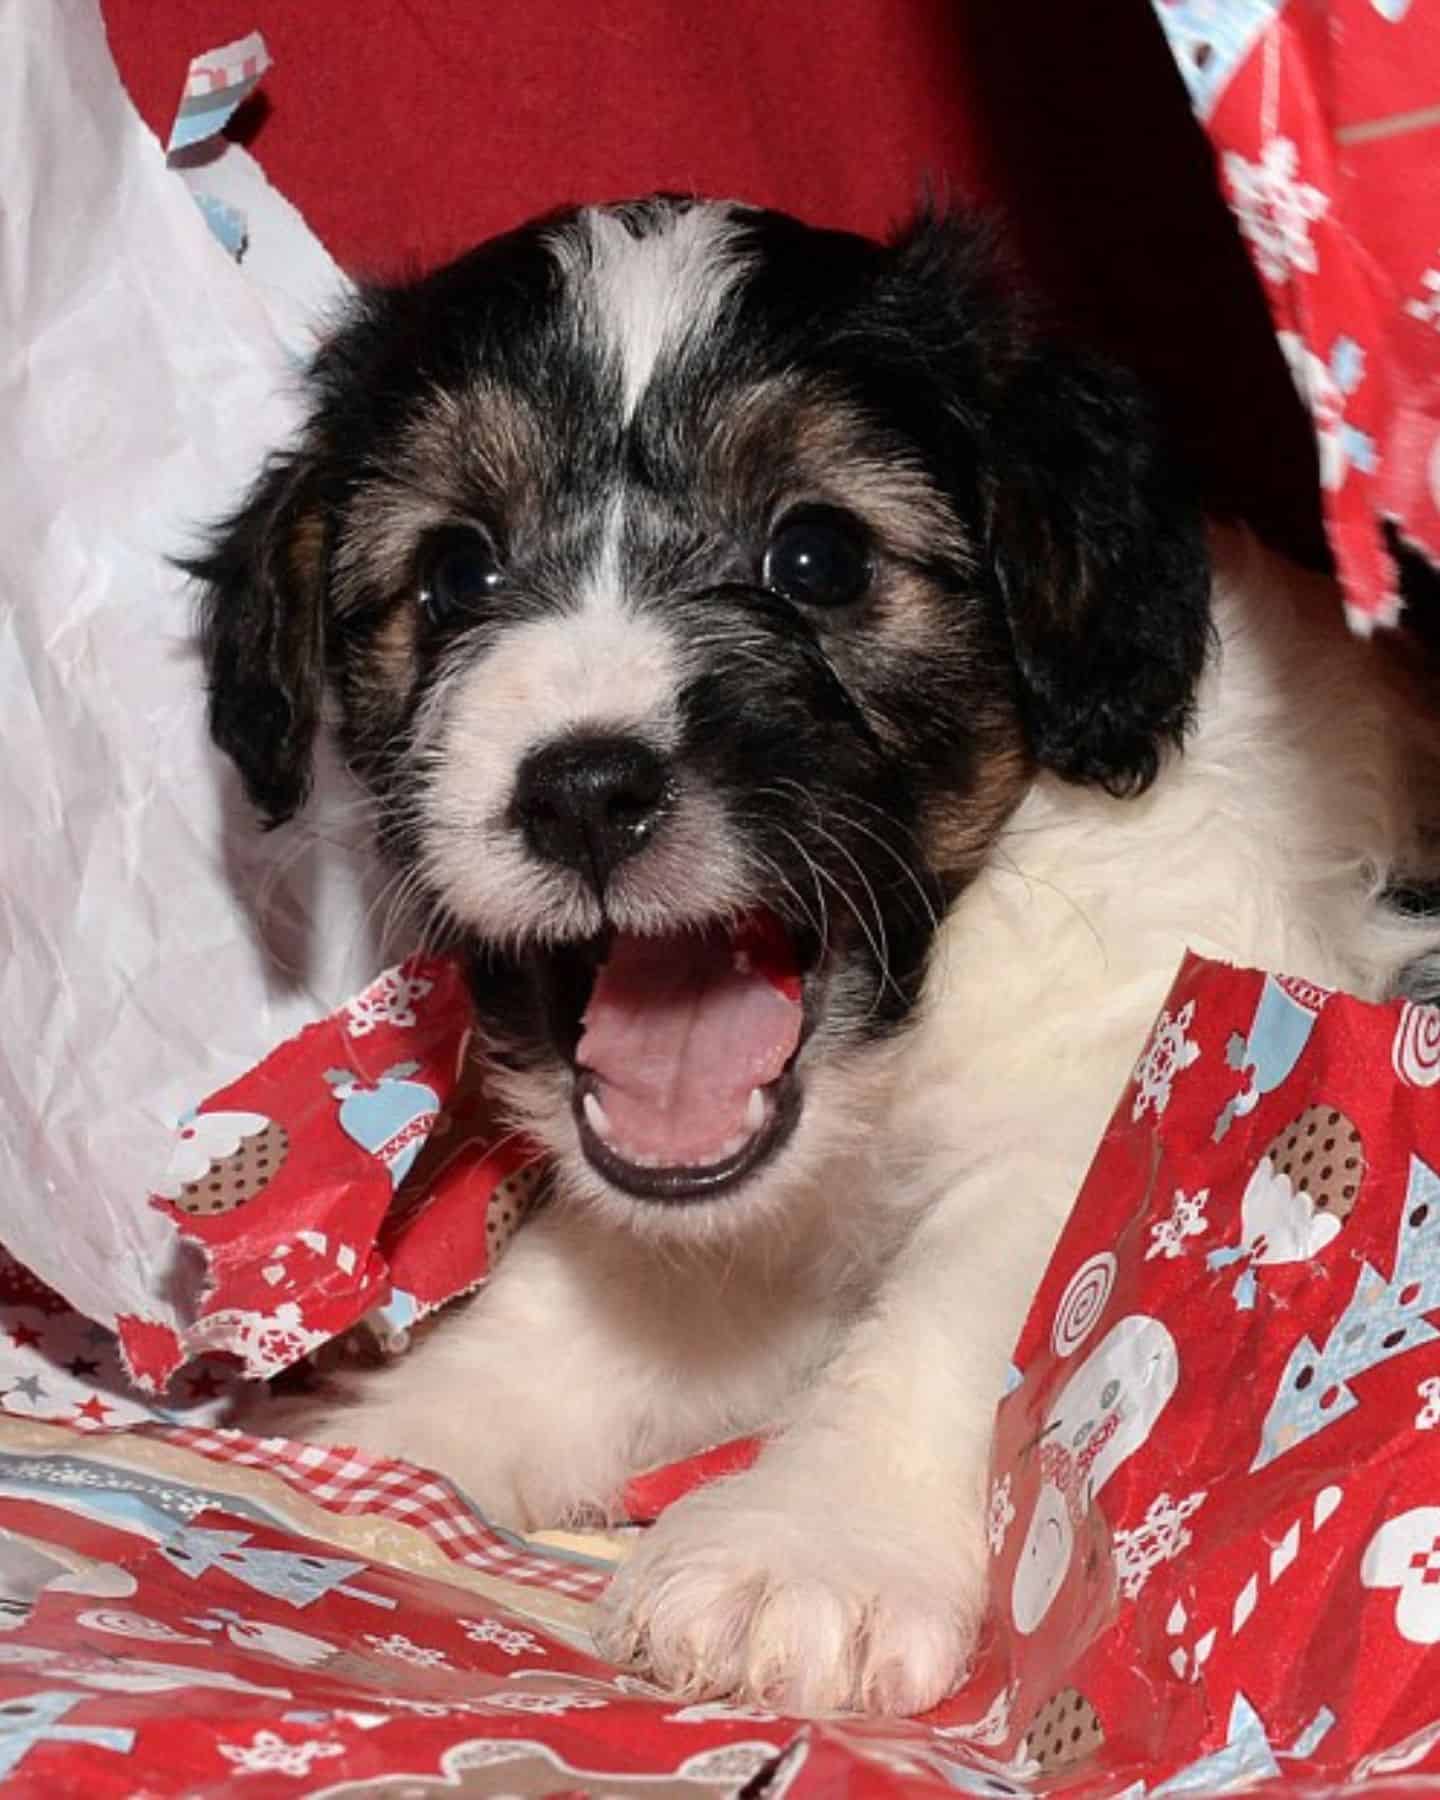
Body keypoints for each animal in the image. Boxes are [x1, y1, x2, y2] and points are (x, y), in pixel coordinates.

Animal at [190, 197, 1440, 1713]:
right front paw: (398, 1441)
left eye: (819, 557)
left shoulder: (1122, 1075)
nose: (584, 791)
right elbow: (567, 1306)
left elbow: (966, 1310)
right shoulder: (704, 1232)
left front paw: (809, 1544)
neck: (903, 1029)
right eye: (454, 571)